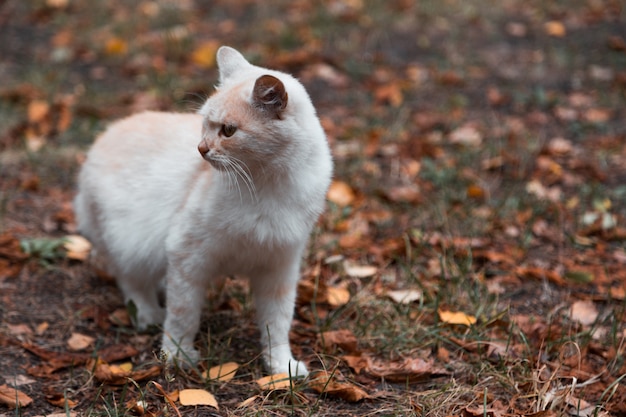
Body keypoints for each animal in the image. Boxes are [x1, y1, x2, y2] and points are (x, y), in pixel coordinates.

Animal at [74, 46, 332, 376]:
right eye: (206, 125)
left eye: (228, 131)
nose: (201, 149)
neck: (268, 185)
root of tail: (106, 134)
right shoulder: (187, 257)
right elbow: (182, 317)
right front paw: (177, 356)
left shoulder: (279, 268)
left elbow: (277, 325)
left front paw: (280, 367)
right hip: (128, 244)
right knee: (131, 281)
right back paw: (147, 314)